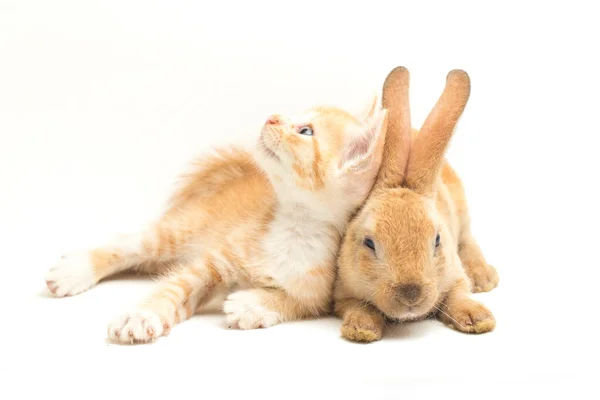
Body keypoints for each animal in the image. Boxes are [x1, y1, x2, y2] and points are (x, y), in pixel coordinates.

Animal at [43, 95, 390, 342]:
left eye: (306, 131)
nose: (272, 116)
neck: (295, 225)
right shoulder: (213, 261)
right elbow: (173, 287)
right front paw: (141, 315)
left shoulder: (318, 291)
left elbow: (294, 302)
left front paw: (252, 305)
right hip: (180, 230)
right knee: (129, 244)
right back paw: (75, 270)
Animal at [336, 67, 500, 342]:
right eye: (369, 243)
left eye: (437, 240)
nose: (410, 294)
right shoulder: (342, 293)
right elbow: (357, 306)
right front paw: (361, 329)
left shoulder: (455, 275)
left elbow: (458, 295)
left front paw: (478, 319)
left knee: (469, 240)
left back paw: (484, 278)